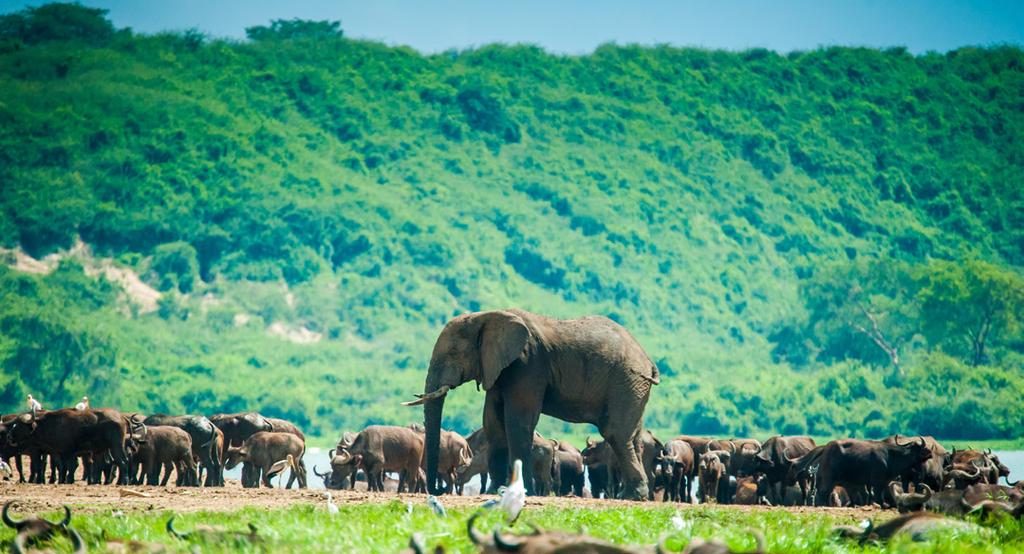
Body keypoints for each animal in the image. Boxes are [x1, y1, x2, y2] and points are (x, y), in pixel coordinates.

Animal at [403, 309, 659, 499]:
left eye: (454, 352)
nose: (437, 491)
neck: (486, 316)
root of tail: (648, 360)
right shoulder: (498, 368)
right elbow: (493, 424)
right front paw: (494, 492)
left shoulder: (527, 364)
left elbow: (518, 421)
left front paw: (521, 492)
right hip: (633, 386)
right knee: (632, 436)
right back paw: (632, 496)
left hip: (626, 380)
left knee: (615, 433)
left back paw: (633, 496)